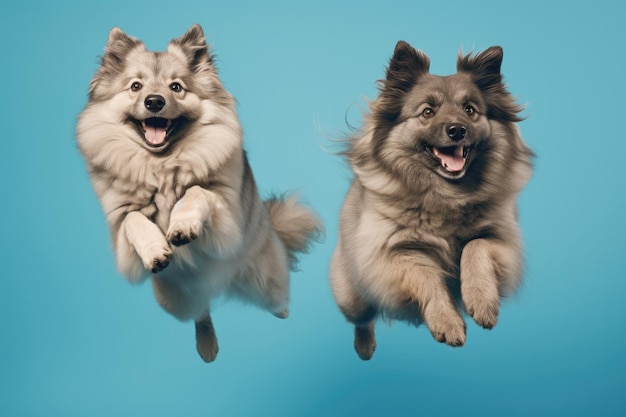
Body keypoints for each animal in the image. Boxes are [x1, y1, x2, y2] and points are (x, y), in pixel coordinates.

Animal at [77, 24, 322, 360]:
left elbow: (195, 191)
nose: (154, 101)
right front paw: (156, 250)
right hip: (177, 300)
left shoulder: (226, 218)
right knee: (201, 312)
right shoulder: (121, 234)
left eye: (176, 87)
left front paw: (181, 226)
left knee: (274, 294)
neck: (161, 164)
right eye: (136, 86)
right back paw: (207, 345)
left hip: (265, 279)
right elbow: (134, 220)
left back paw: (281, 310)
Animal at [326, 41, 532, 358]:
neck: (446, 197)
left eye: (470, 110)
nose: (457, 130)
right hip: (353, 296)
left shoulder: (504, 243)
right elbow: (427, 277)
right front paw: (447, 321)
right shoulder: (392, 254)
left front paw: (481, 301)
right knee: (363, 318)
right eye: (427, 112)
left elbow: (475, 246)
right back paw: (364, 346)